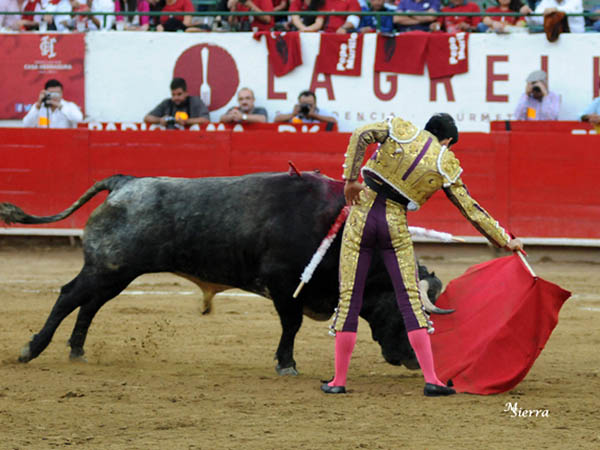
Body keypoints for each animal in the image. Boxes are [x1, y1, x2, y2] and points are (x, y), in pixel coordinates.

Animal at [0, 171, 440, 372]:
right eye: (406, 311)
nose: (414, 361)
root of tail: (125, 182)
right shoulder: (284, 285)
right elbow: (291, 325)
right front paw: (286, 363)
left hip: (116, 273)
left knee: (89, 306)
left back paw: (77, 351)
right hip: (106, 267)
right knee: (68, 296)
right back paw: (31, 349)